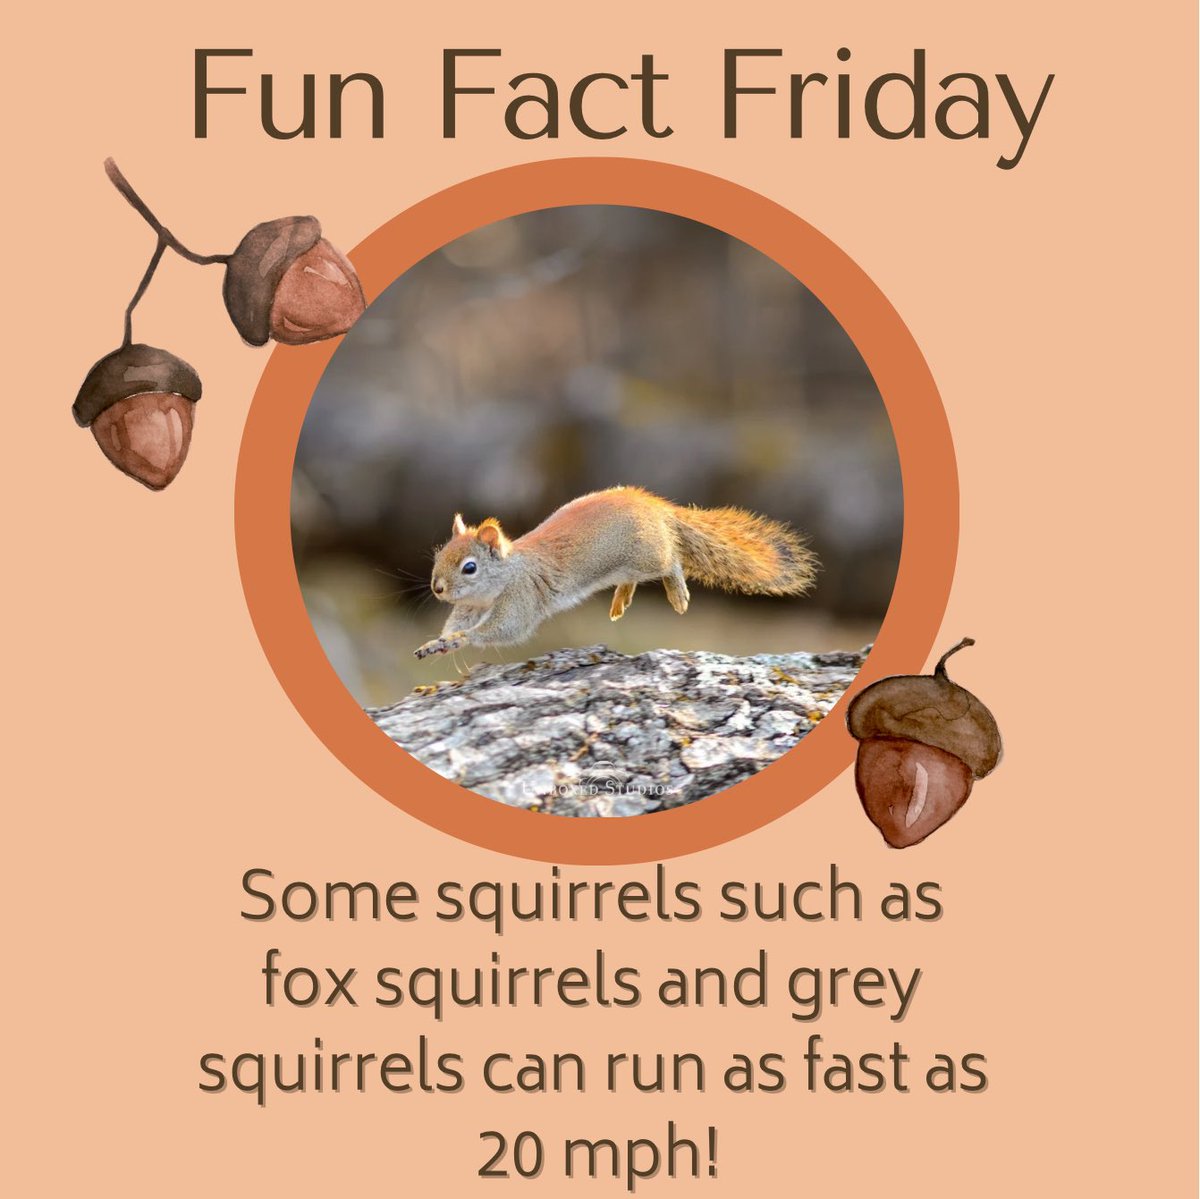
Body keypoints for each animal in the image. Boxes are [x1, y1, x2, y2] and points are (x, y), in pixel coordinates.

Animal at [414, 486, 818, 659]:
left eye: (469, 567)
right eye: (439, 554)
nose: (437, 588)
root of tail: (656, 506)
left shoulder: (522, 596)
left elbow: (504, 629)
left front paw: (459, 641)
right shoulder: (470, 607)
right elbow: (456, 622)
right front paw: (436, 642)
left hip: (648, 554)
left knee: (671, 559)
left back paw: (676, 591)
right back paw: (622, 597)